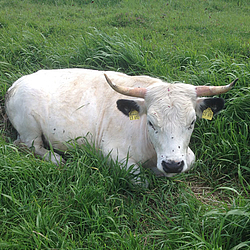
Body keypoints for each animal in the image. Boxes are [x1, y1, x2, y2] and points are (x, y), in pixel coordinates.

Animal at [5, 68, 236, 184]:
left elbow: (189, 162)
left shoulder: (186, 156)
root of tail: (16, 84)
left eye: (192, 121)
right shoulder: (111, 153)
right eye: (151, 122)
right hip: (29, 129)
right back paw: (57, 159)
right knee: (28, 146)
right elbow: (140, 180)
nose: (172, 164)